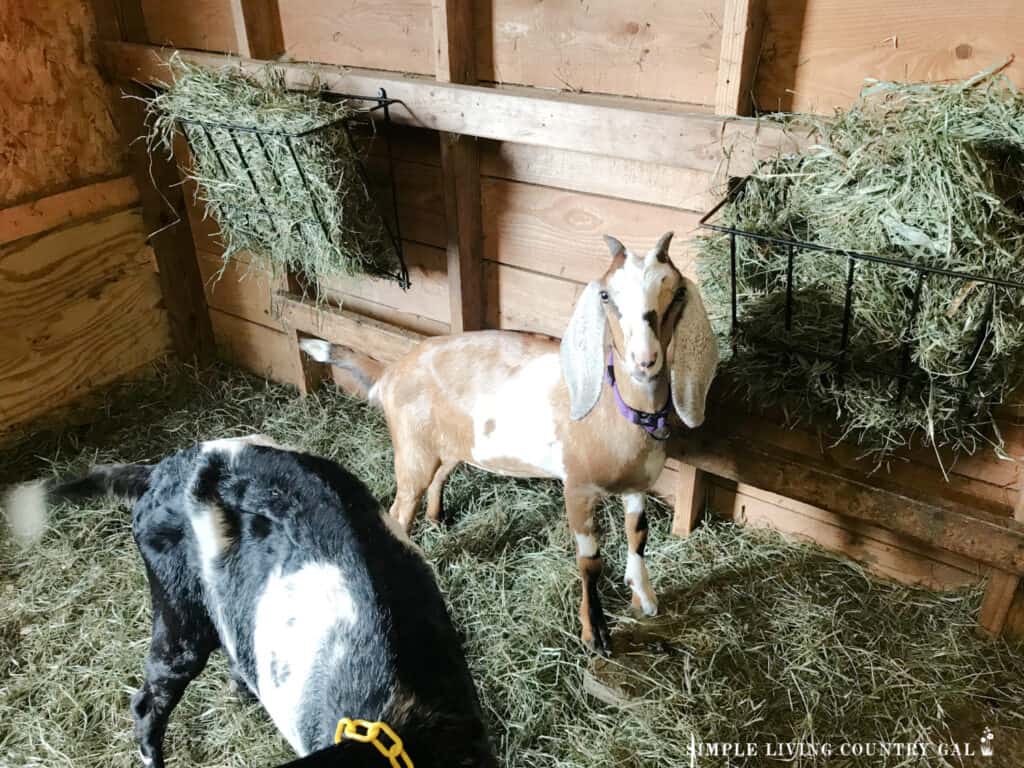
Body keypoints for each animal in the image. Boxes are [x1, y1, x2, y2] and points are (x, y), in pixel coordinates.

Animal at [301, 233, 720, 655]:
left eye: (677, 291)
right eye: (605, 295)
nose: (644, 360)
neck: (615, 409)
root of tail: (390, 373)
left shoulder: (638, 486)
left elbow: (638, 537)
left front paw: (645, 598)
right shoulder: (578, 487)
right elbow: (590, 562)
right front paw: (595, 634)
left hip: (450, 445)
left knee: (437, 479)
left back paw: (438, 518)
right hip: (411, 447)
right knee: (401, 509)